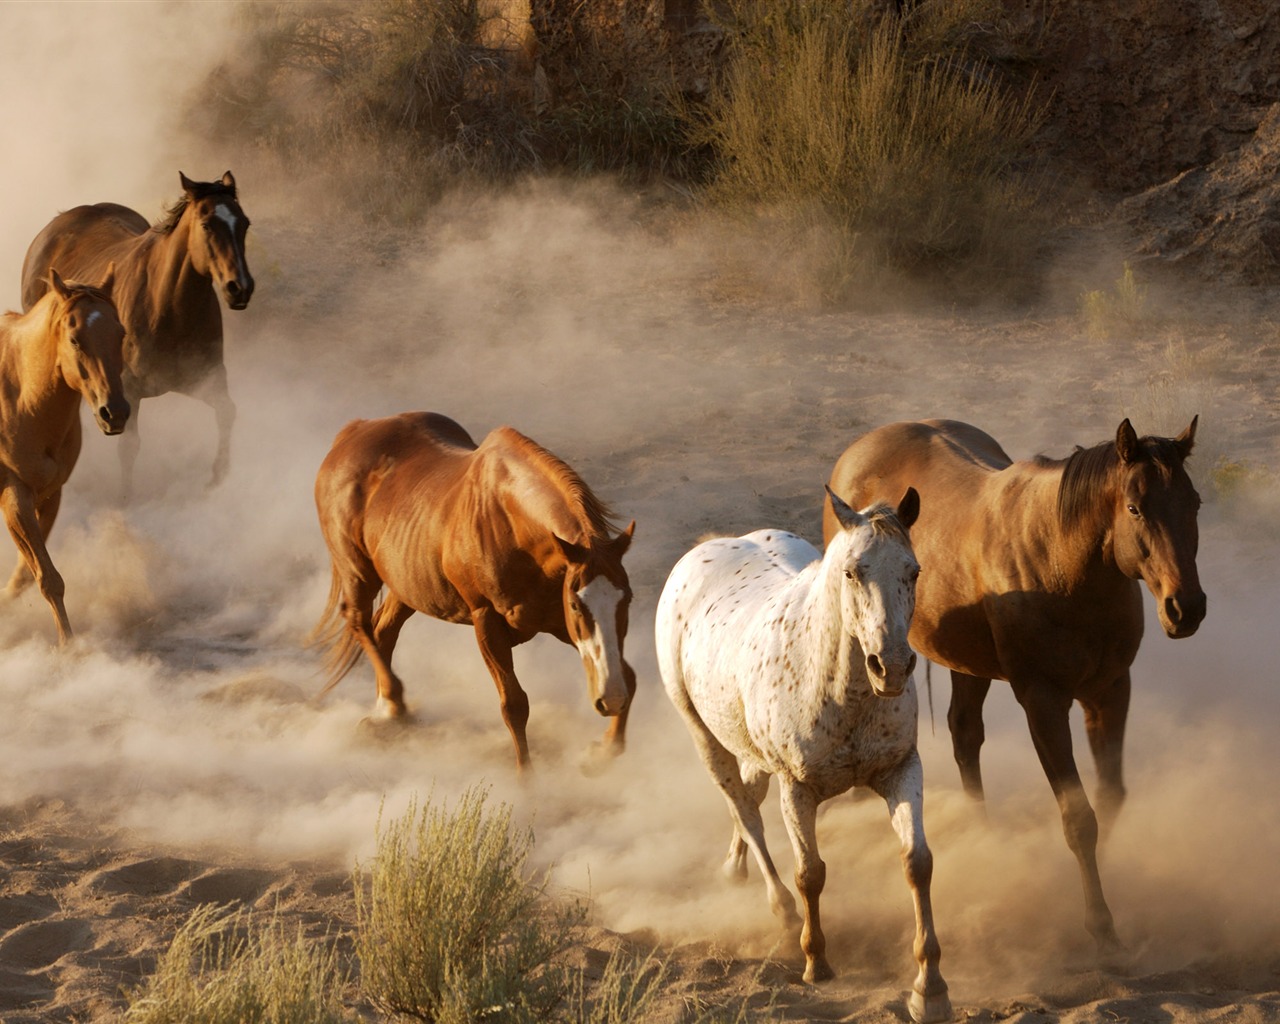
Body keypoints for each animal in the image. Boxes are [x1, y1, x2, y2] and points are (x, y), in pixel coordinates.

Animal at [0, 267, 129, 645]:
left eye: (120, 333)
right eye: (74, 339)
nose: (115, 413)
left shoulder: (50, 494)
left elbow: (27, 576)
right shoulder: (15, 495)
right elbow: (48, 577)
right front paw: (70, 648)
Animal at [21, 168, 256, 496]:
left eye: (244, 223)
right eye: (207, 225)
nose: (240, 288)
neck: (168, 307)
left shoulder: (207, 378)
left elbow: (227, 412)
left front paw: (218, 477)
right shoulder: (126, 390)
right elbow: (129, 447)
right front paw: (126, 497)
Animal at [312, 412, 637, 773]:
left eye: (627, 599)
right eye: (576, 605)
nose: (611, 699)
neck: (511, 524)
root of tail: (354, 431)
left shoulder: (557, 623)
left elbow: (629, 675)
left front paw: (601, 753)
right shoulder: (488, 621)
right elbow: (514, 705)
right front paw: (527, 779)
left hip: (405, 585)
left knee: (383, 631)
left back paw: (387, 713)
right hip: (358, 571)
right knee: (358, 621)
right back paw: (393, 705)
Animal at [655, 488, 947, 1024]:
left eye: (913, 571)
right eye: (852, 571)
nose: (892, 666)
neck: (840, 689)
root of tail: (710, 546)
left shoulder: (901, 770)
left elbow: (917, 863)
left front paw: (930, 987)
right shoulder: (798, 789)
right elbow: (810, 873)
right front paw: (817, 963)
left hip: (749, 749)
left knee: (748, 797)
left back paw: (734, 868)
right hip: (704, 737)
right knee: (745, 810)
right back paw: (781, 910)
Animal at [824, 414, 1203, 952]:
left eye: (1194, 503)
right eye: (1134, 507)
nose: (1186, 608)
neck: (1064, 566)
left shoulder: (1110, 691)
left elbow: (1110, 798)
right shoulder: (1043, 703)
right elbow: (1078, 817)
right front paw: (1099, 923)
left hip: (968, 664)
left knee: (965, 734)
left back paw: (984, 835)